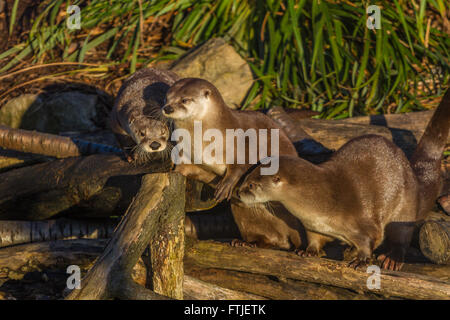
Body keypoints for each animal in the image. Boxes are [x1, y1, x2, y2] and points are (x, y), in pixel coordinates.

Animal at [162, 77, 306, 250]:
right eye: (167, 98)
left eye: (185, 100)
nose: (167, 108)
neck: (202, 139)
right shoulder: (186, 154)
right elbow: (183, 167)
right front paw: (172, 172)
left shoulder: (240, 145)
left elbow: (241, 166)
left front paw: (225, 186)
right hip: (243, 215)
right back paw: (248, 242)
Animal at [237, 88, 448, 270]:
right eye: (246, 177)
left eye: (252, 184)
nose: (238, 192)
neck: (321, 200)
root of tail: (412, 175)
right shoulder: (313, 227)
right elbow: (314, 240)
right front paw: (308, 251)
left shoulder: (364, 223)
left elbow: (370, 240)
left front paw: (361, 260)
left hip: (404, 207)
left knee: (401, 237)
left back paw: (391, 259)